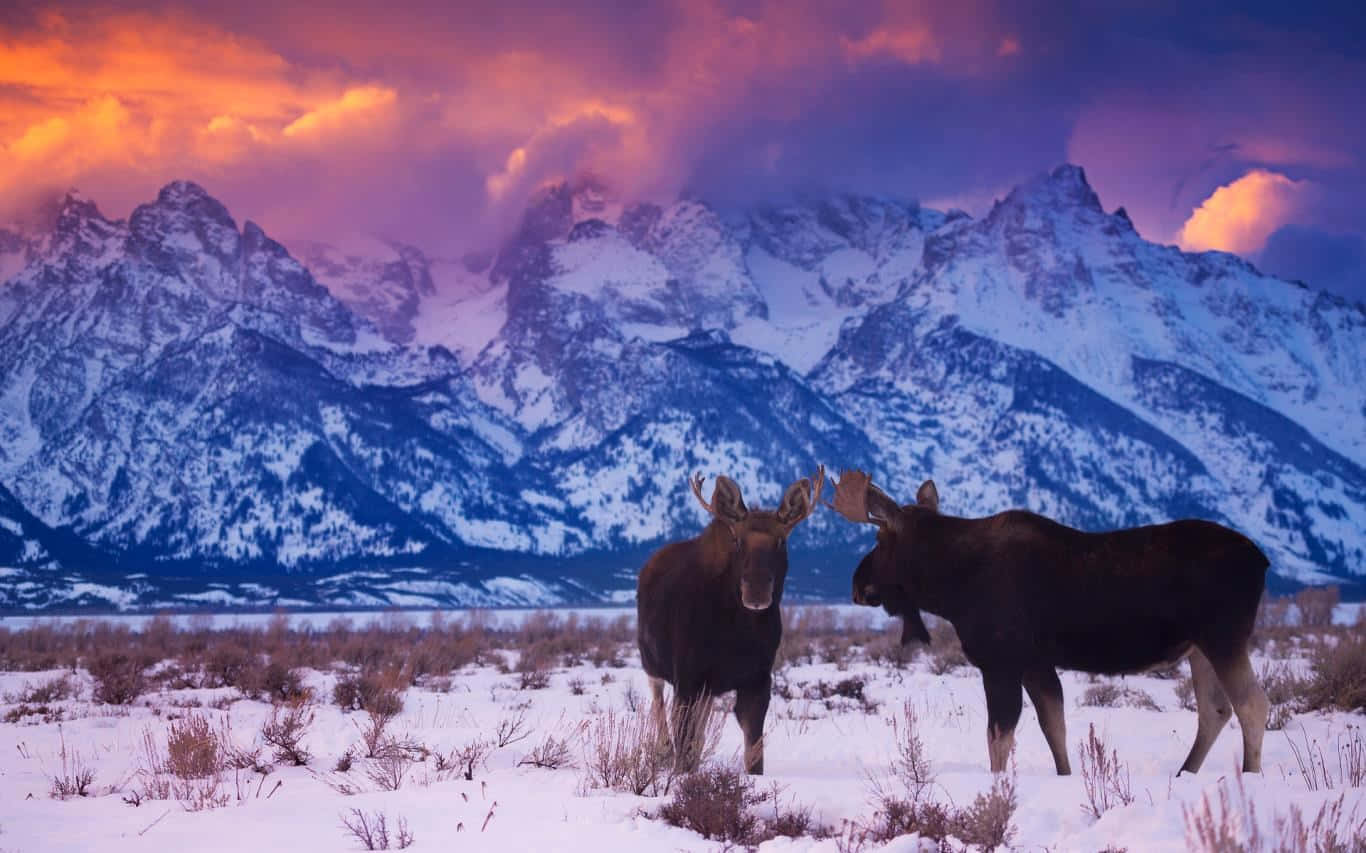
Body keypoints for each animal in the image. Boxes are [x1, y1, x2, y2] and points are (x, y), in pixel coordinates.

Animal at [636, 467, 819, 770]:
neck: (738, 632)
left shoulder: (757, 680)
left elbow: (753, 756)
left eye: (781, 541)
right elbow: (682, 746)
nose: (756, 590)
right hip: (652, 664)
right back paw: (661, 751)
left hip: (708, 690)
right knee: (658, 705)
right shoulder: (687, 679)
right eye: (737, 540)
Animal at [825, 470, 1273, 776]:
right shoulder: (1036, 663)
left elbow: (999, 738)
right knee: (1215, 710)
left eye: (879, 540)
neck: (951, 587)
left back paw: (1250, 776)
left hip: (1223, 636)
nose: (857, 584)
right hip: (1200, 647)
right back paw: (1184, 774)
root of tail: (1262, 560)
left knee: (1253, 704)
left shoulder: (1000, 660)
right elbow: (1054, 728)